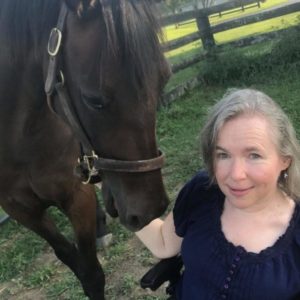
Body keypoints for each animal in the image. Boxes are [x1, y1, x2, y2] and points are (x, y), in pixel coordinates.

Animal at [0, 1, 170, 298]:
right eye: (94, 100)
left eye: (163, 80)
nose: (151, 210)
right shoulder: (19, 208)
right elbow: (69, 257)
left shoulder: (77, 196)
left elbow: (91, 274)